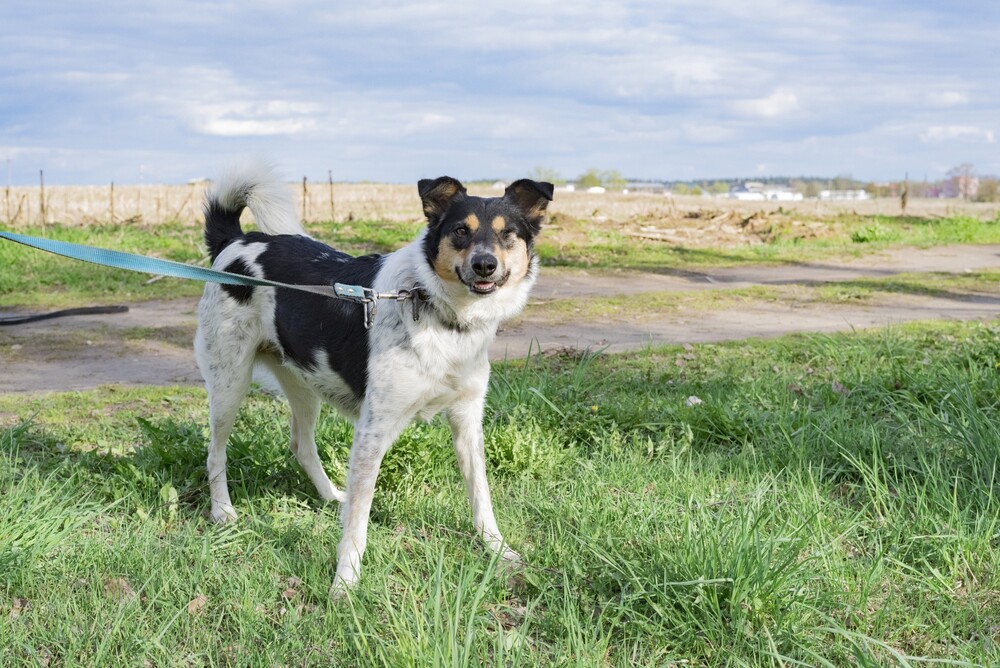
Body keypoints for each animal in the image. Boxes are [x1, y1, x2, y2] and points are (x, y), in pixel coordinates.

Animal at [193, 164, 556, 592]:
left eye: (507, 234)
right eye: (460, 231)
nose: (485, 264)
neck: (440, 313)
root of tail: (236, 241)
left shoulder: (467, 422)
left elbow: (481, 497)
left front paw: (498, 550)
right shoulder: (373, 430)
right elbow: (357, 522)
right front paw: (345, 583)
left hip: (304, 379)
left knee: (301, 443)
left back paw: (332, 495)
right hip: (229, 382)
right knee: (216, 451)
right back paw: (223, 511)